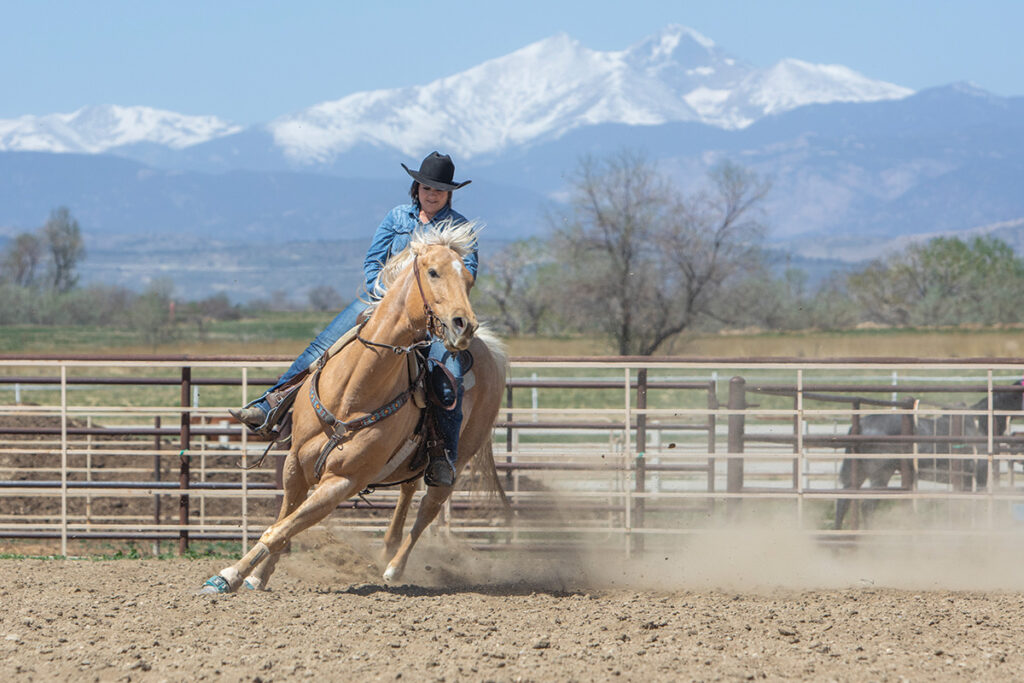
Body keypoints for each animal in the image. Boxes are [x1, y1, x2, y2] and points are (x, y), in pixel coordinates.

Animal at [200, 222, 509, 592]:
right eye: (433, 272)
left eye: (468, 279)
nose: (464, 325)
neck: (354, 389)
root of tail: (488, 348)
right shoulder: (295, 464)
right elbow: (284, 520)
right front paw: (256, 575)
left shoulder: (344, 481)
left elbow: (282, 529)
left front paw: (228, 575)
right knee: (408, 489)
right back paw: (387, 548)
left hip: (458, 458)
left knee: (429, 507)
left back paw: (394, 568)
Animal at [834, 383, 1023, 530]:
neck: (980, 424)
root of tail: (861, 424)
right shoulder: (979, 473)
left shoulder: (966, 478)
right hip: (880, 474)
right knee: (867, 506)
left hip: (858, 473)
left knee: (844, 502)